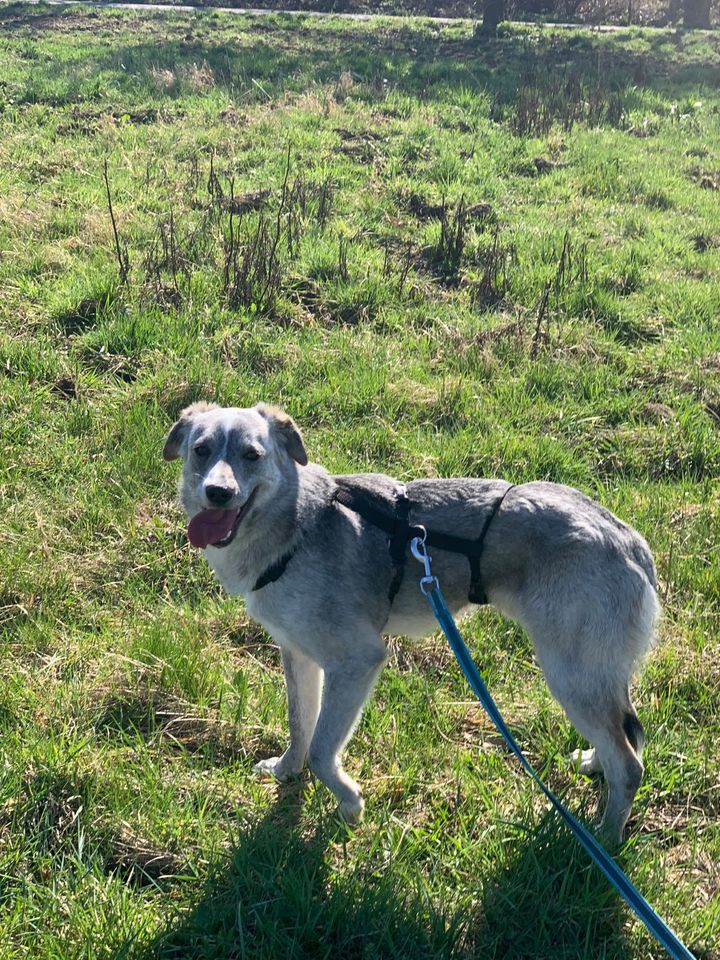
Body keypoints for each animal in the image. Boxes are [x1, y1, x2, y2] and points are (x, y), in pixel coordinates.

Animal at [163, 402, 660, 844]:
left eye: (252, 455)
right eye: (202, 451)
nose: (218, 493)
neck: (297, 528)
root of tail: (629, 540)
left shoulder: (357, 661)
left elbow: (323, 751)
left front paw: (349, 803)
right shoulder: (299, 656)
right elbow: (300, 726)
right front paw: (287, 772)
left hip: (570, 676)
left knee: (630, 765)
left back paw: (604, 842)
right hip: (591, 679)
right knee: (623, 738)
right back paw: (595, 765)